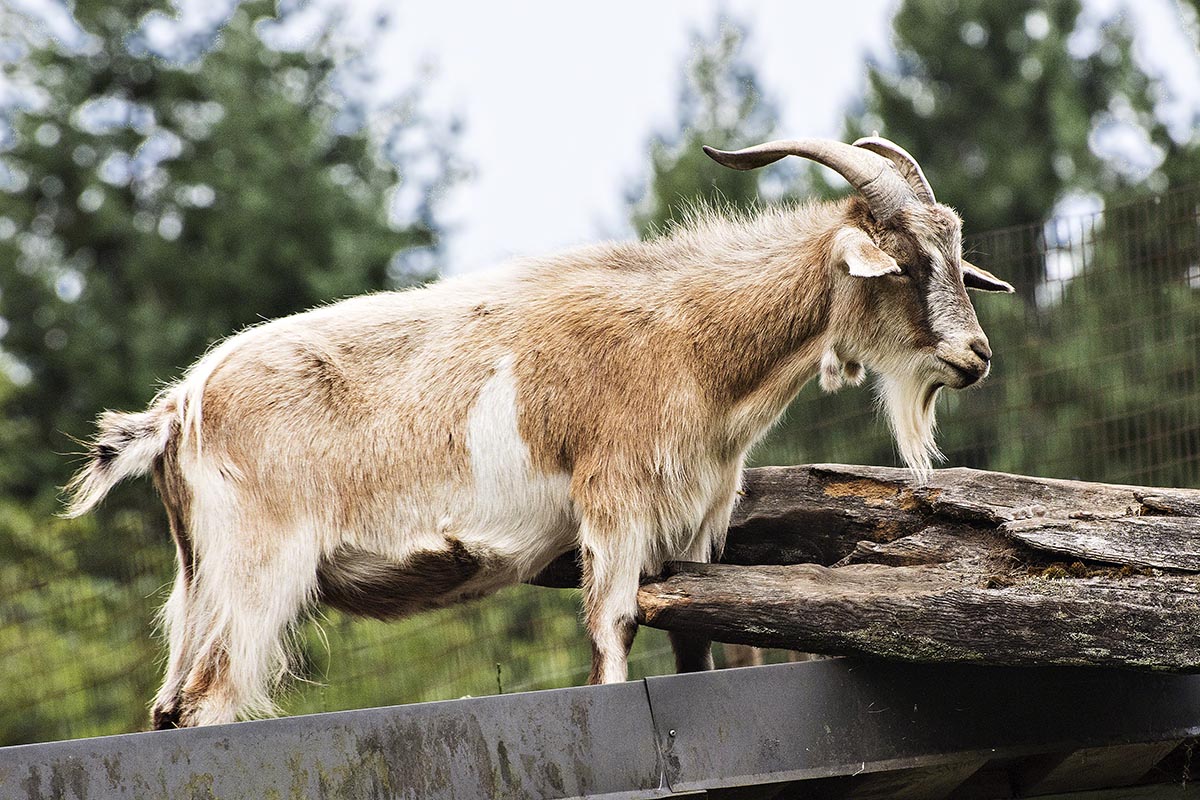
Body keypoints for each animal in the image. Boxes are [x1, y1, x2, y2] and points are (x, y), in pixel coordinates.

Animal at [64, 136, 1013, 728]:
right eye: (906, 262)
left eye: (956, 253)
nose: (975, 356)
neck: (687, 338)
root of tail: (181, 407)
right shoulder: (614, 506)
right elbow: (611, 632)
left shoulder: (694, 530)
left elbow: (699, 644)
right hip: (259, 573)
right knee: (209, 703)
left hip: (199, 582)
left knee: (168, 706)